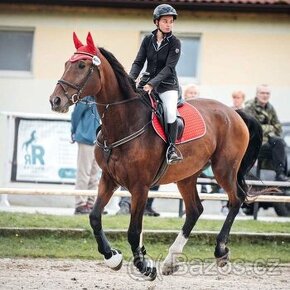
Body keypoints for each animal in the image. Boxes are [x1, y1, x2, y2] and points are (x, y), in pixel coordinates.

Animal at [49, 32, 262, 280]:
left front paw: (144, 266)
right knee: (195, 210)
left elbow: (134, 230)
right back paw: (171, 260)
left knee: (235, 200)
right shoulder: (109, 179)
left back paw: (220, 252)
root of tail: (234, 113)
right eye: (67, 64)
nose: (55, 101)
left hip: (224, 169)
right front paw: (113, 257)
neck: (124, 122)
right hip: (187, 175)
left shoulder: (140, 186)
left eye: (82, 65)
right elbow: (94, 217)